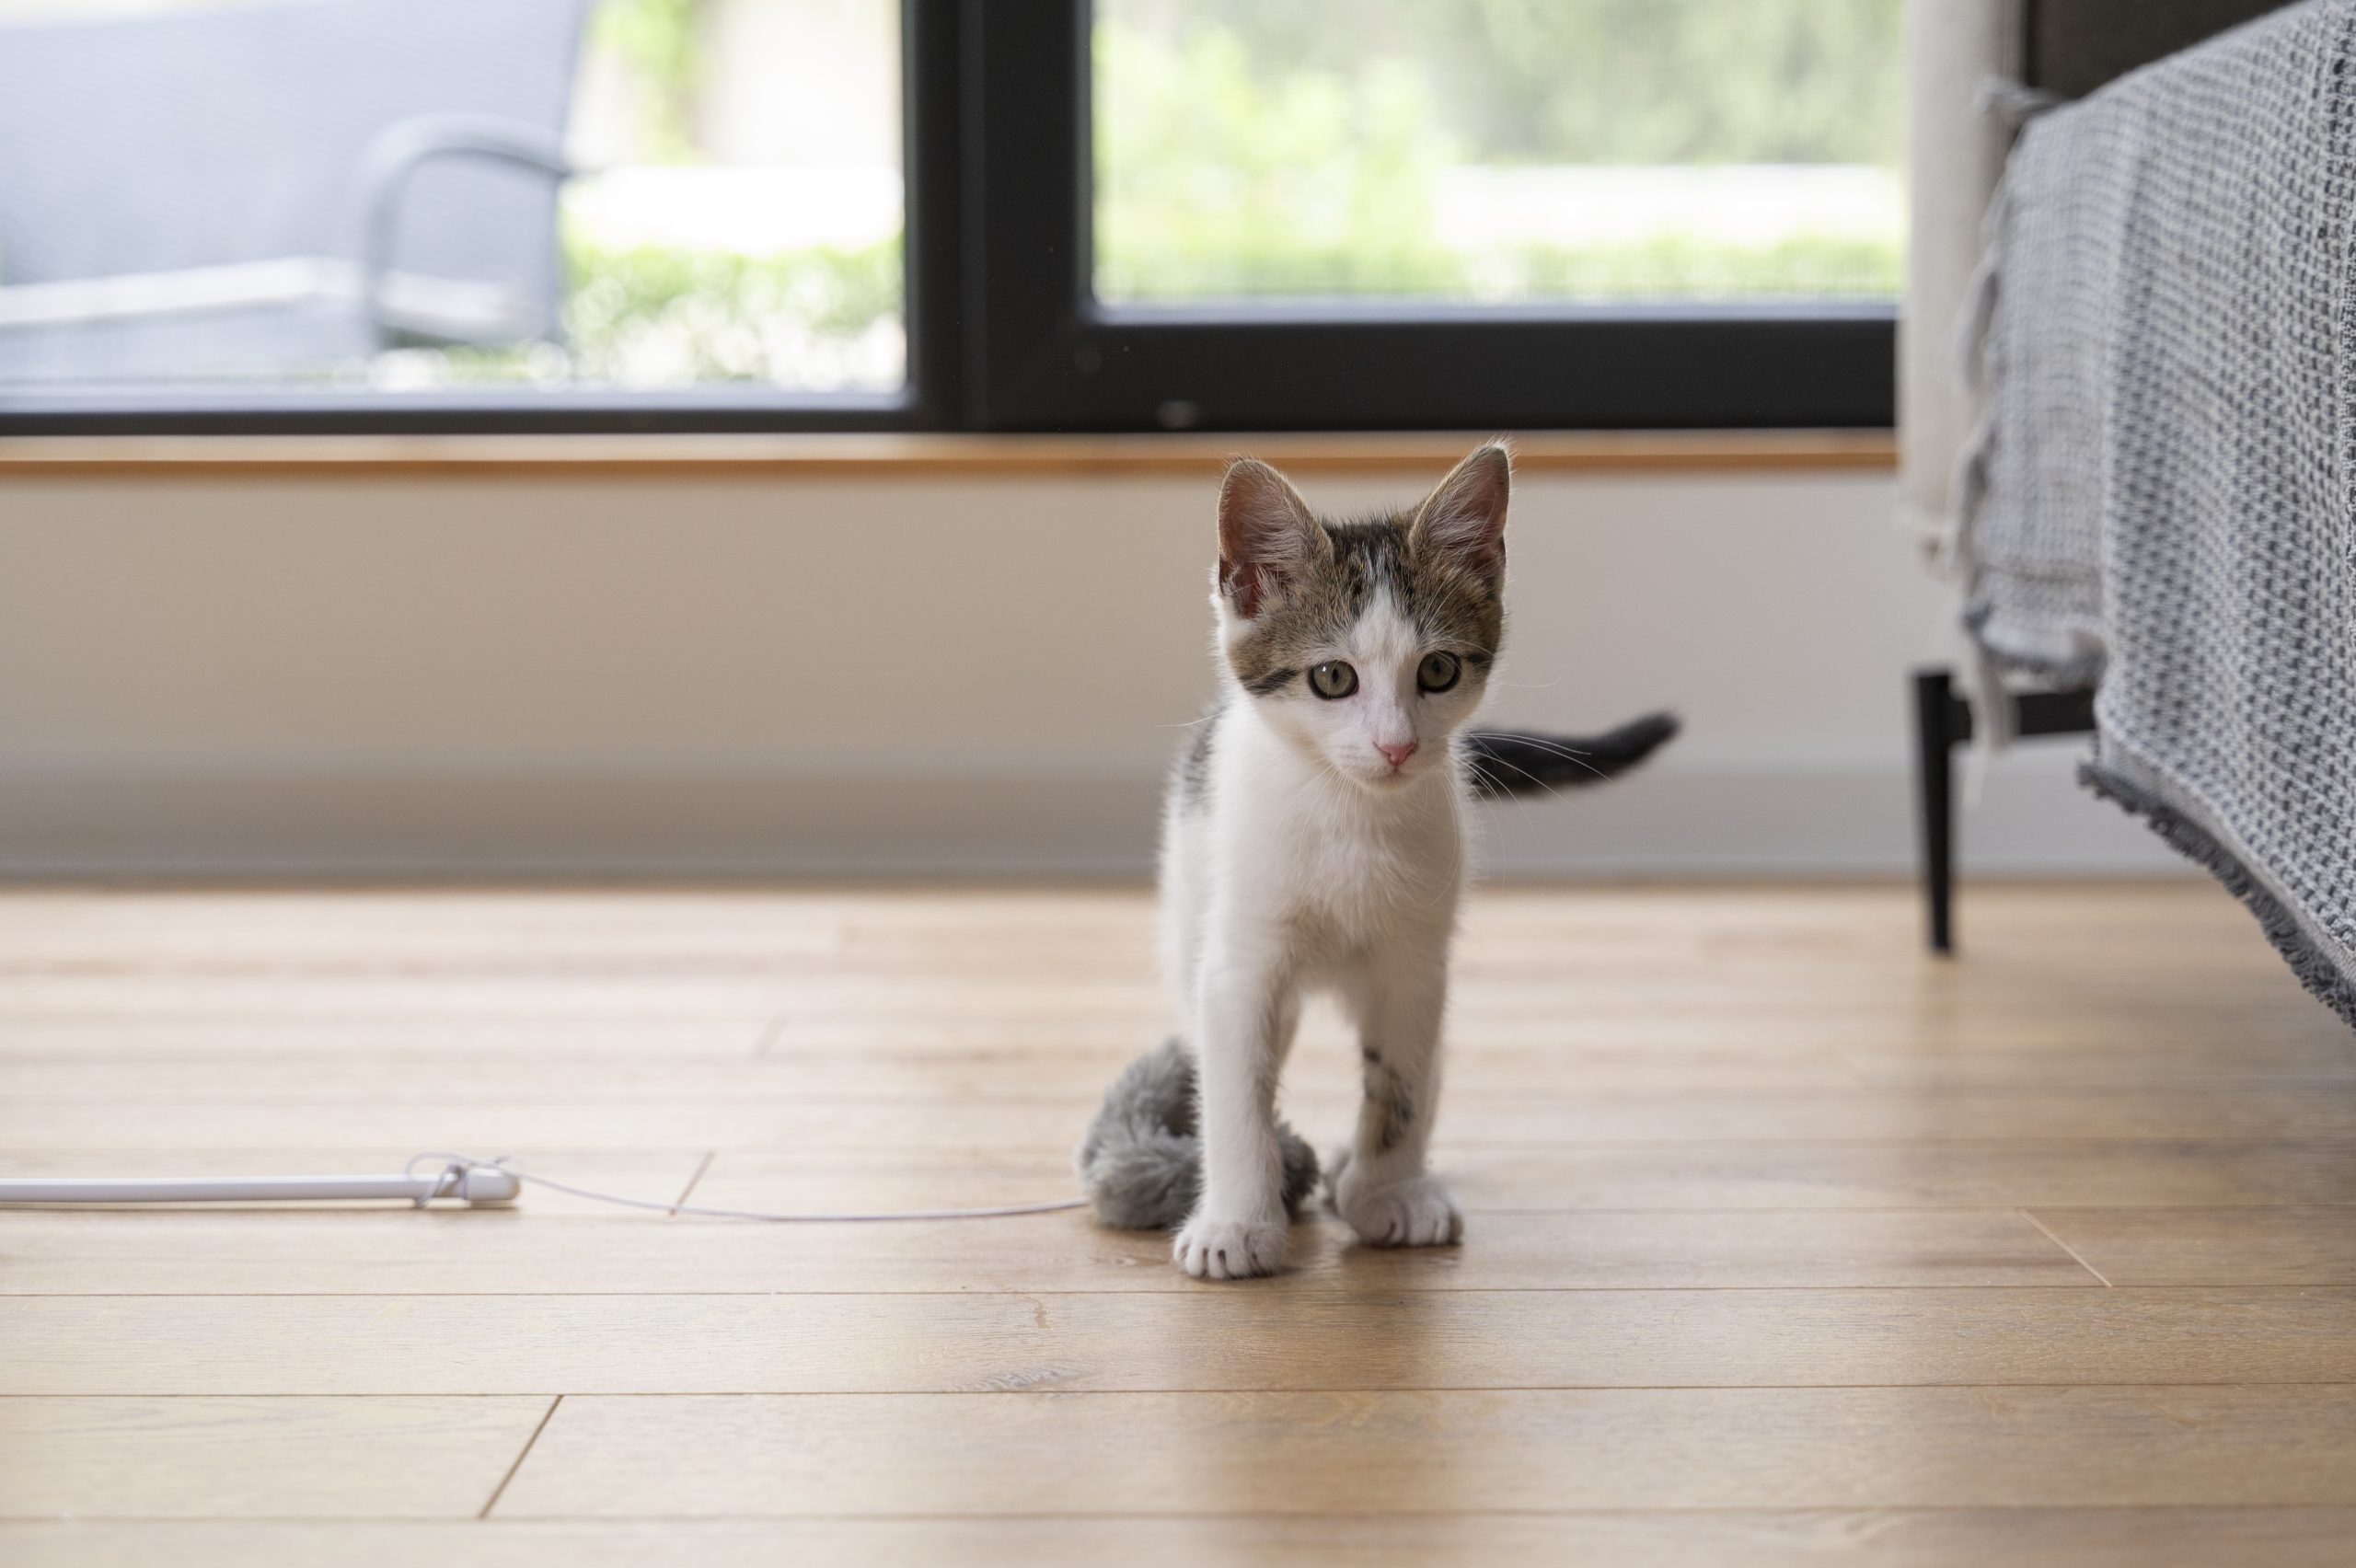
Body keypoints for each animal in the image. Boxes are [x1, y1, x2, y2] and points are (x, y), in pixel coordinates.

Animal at [1140, 435, 1677, 1271]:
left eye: (1438, 670)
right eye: (1333, 677)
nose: (1396, 746)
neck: (1353, 815)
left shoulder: (1413, 964)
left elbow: (1400, 1082)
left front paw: (1385, 1191)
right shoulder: (1239, 963)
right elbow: (1236, 1093)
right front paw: (1237, 1221)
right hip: (1193, 912)